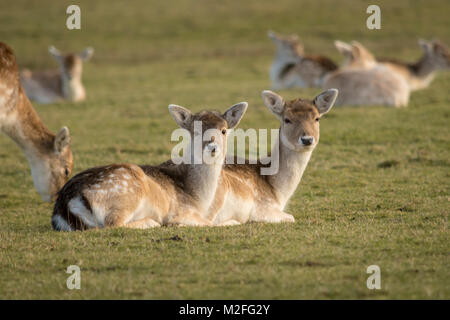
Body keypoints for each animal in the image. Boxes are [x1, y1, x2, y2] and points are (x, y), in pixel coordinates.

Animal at [53, 102, 250, 230]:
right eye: (195, 131)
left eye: (223, 130)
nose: (212, 146)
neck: (198, 198)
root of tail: (67, 204)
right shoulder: (182, 211)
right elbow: (212, 223)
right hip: (126, 194)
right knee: (112, 224)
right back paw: (151, 223)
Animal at [202, 89, 340, 226]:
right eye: (287, 119)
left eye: (317, 118)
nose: (307, 139)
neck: (278, 193)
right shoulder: (263, 207)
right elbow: (291, 217)